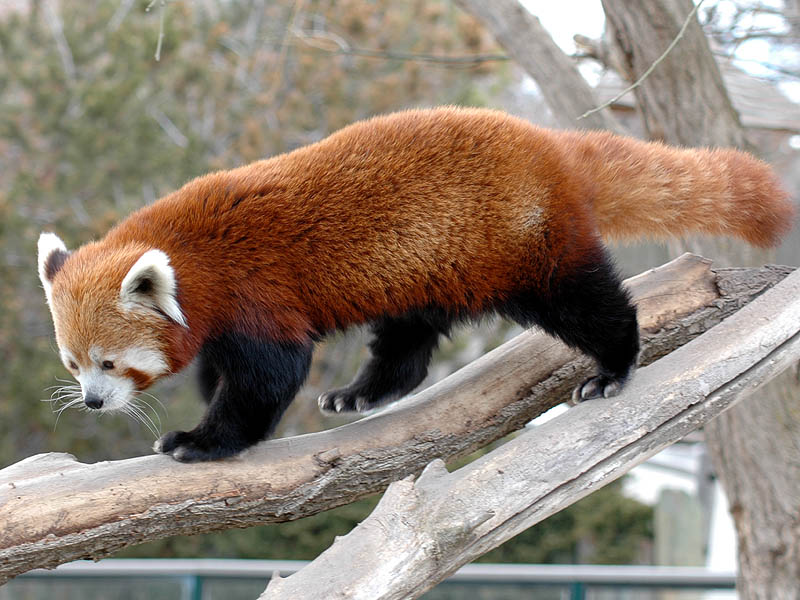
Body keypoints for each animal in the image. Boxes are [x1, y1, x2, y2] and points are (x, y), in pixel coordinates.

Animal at [37, 105, 792, 462]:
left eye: (110, 364)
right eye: (74, 366)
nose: (93, 402)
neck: (196, 257)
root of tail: (548, 144)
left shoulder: (257, 290)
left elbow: (269, 377)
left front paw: (202, 440)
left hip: (519, 243)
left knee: (584, 302)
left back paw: (614, 366)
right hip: (426, 266)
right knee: (407, 339)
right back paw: (363, 393)